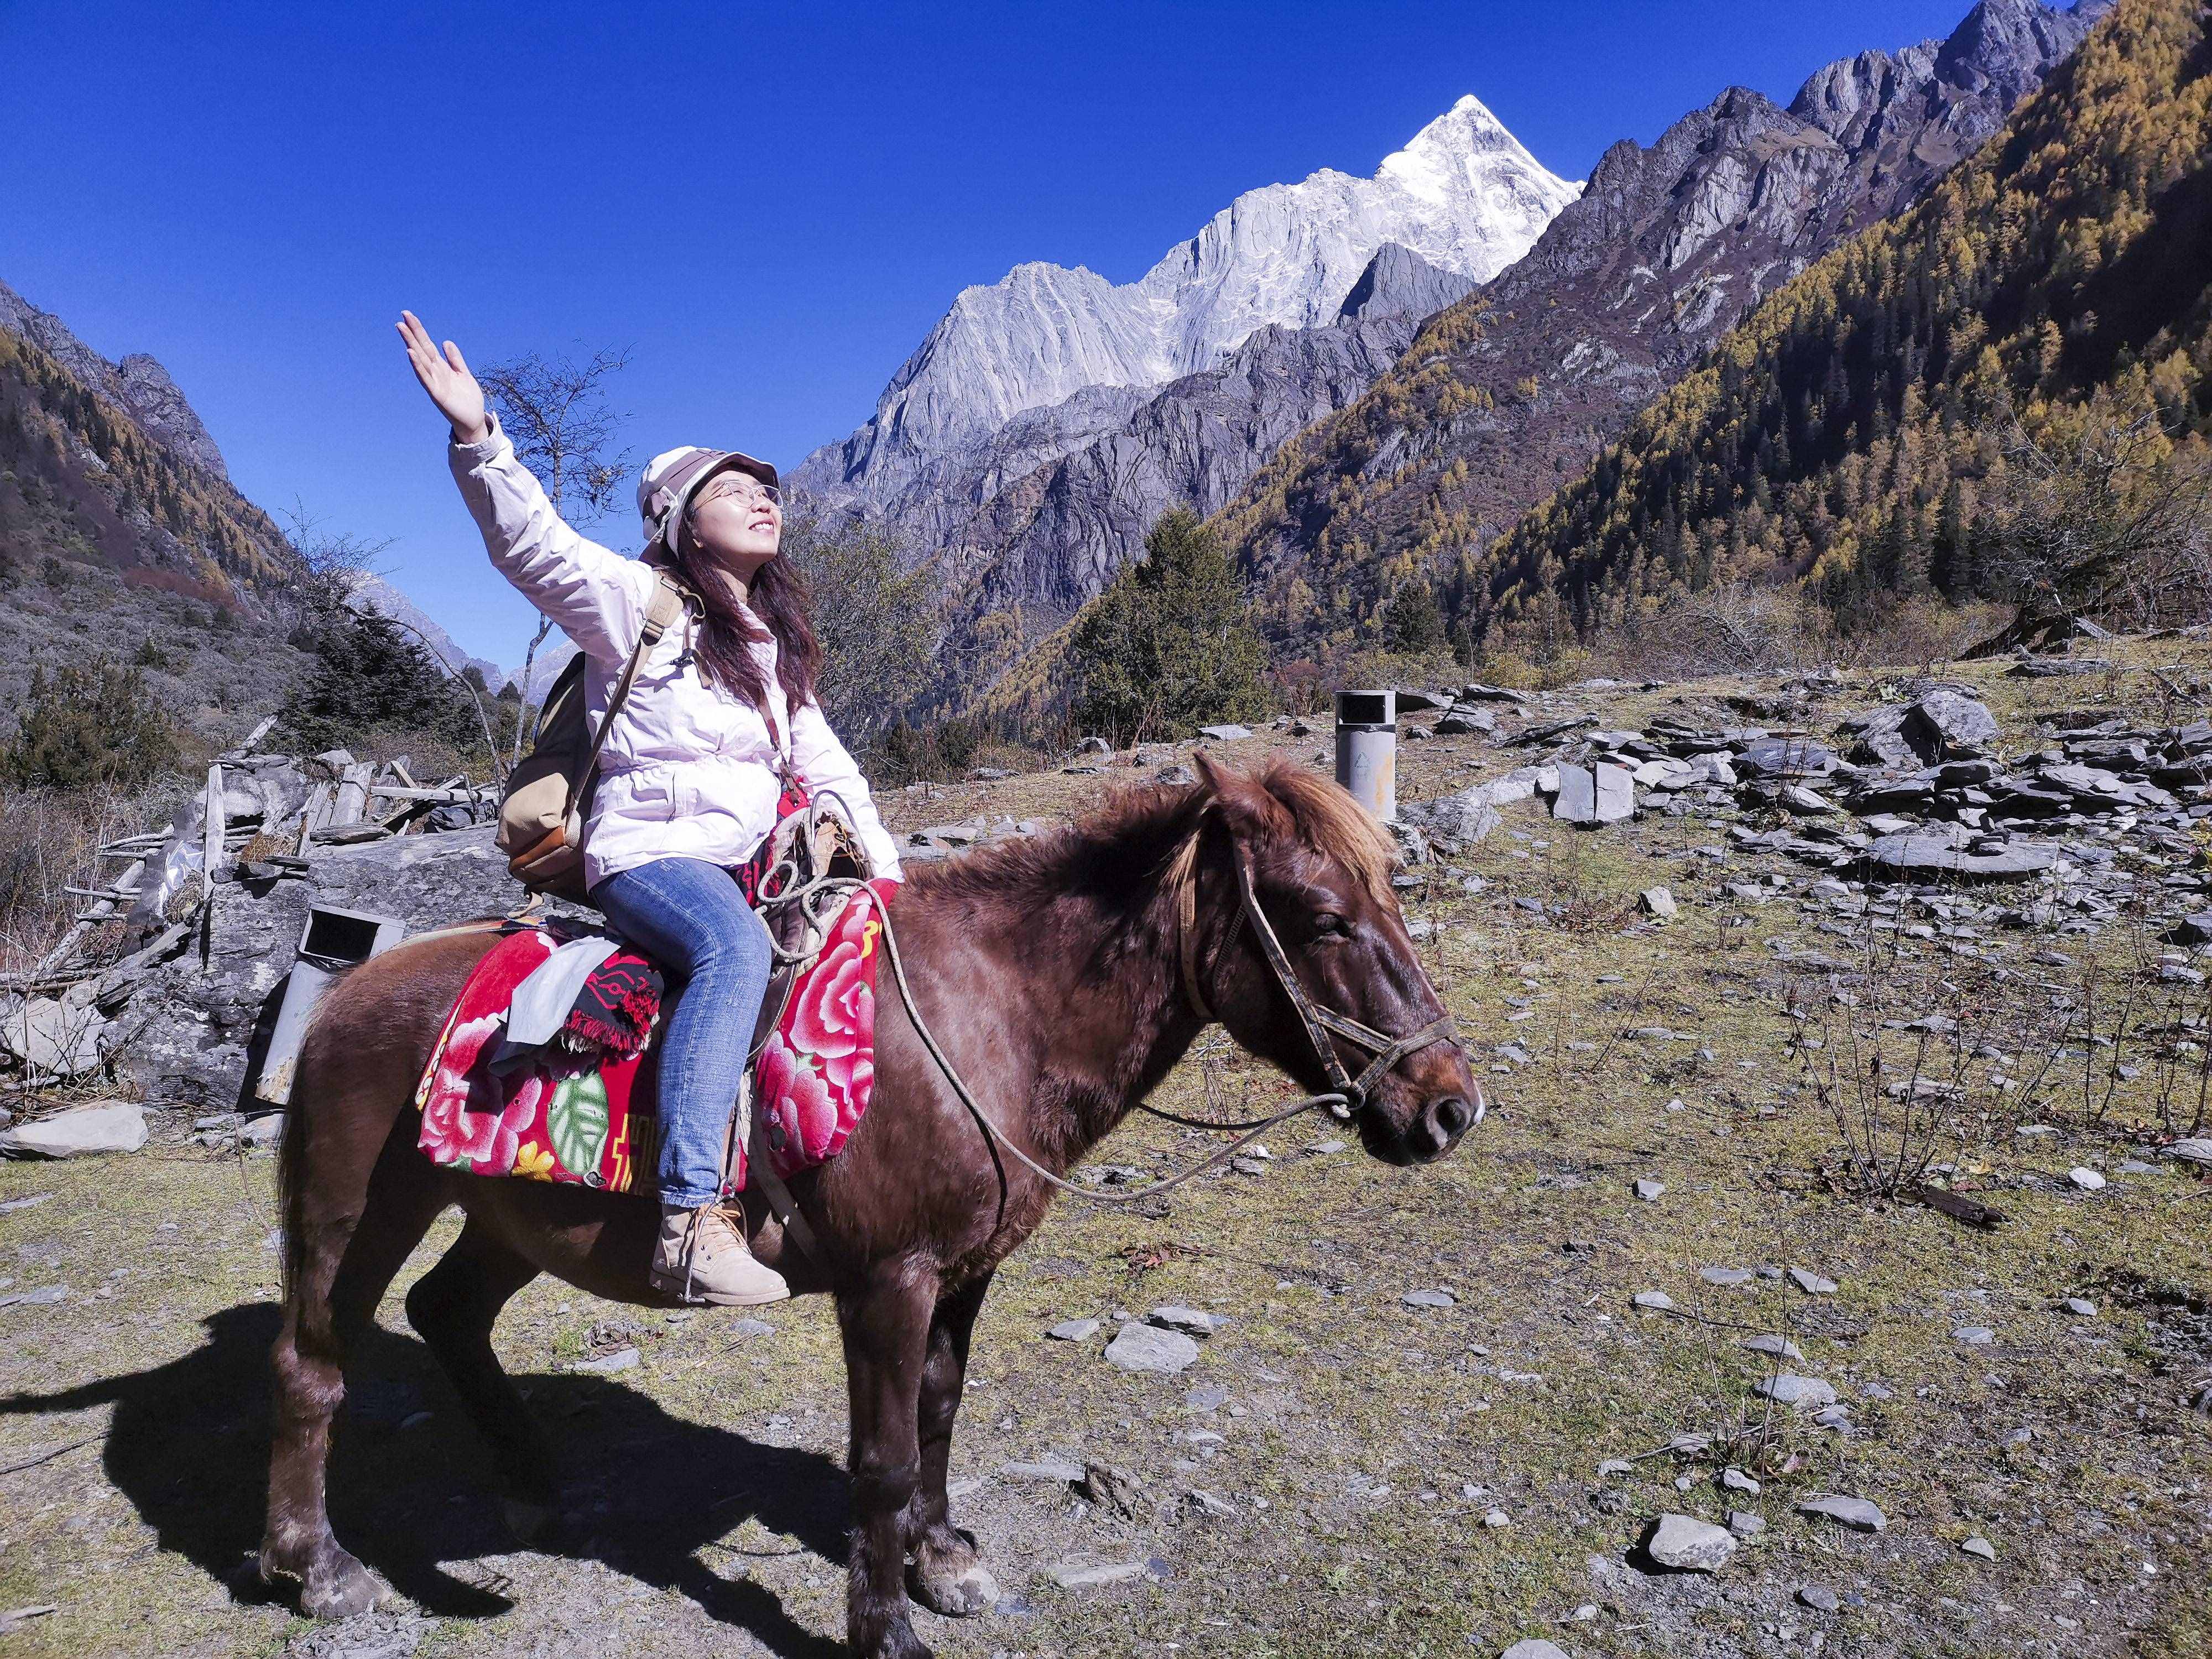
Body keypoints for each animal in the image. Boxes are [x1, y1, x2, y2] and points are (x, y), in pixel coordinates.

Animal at [259, 757, 1478, 1659]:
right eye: (1323, 920)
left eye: (1387, 899)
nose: (1447, 1109)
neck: (991, 1018)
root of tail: (345, 994)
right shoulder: (888, 1282)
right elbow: (883, 1457)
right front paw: (883, 1627)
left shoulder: (967, 1272)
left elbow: (939, 1415)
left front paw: (940, 1563)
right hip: (356, 1208)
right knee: (313, 1364)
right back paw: (318, 1568)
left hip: (511, 1219)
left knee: (448, 1313)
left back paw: (527, 1485)